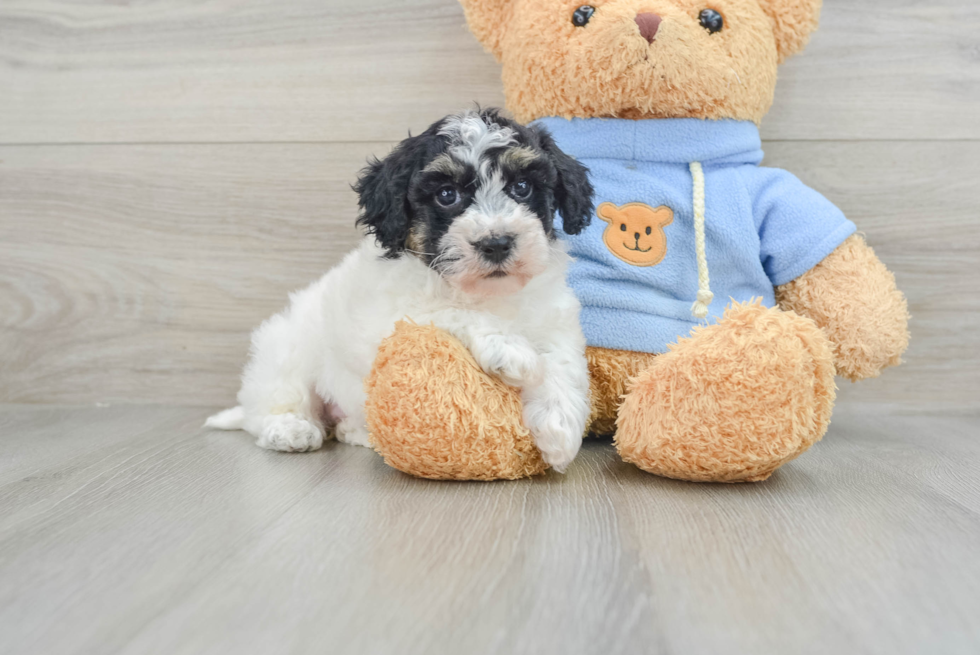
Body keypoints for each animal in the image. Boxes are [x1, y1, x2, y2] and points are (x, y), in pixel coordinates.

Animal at [203, 109, 592, 472]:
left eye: (522, 187)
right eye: (446, 195)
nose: (496, 243)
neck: (487, 292)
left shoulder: (552, 315)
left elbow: (562, 359)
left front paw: (560, 428)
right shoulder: (393, 316)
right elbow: (451, 311)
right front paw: (510, 349)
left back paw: (356, 432)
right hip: (287, 347)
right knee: (274, 403)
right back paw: (290, 429)